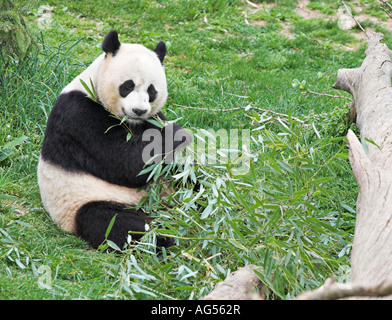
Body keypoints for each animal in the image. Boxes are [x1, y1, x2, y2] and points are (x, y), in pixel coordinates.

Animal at [37, 30, 191, 250]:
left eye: (151, 90)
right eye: (128, 85)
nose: (138, 110)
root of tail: (158, 206)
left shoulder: (152, 118)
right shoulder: (79, 116)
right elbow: (122, 162)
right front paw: (176, 133)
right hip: (87, 200)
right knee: (115, 223)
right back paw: (165, 240)